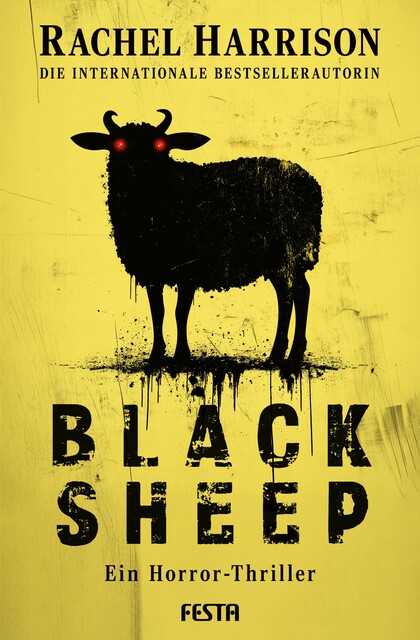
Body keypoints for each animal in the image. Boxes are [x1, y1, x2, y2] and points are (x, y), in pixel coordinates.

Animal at [72, 109, 322, 366]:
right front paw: (156, 356)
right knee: (294, 292)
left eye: (160, 145)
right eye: (119, 144)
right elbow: (158, 311)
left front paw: (181, 355)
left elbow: (180, 312)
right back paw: (284, 354)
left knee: (295, 294)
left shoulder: (189, 268)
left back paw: (286, 355)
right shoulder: (152, 269)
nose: (140, 169)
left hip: (289, 253)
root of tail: (310, 182)